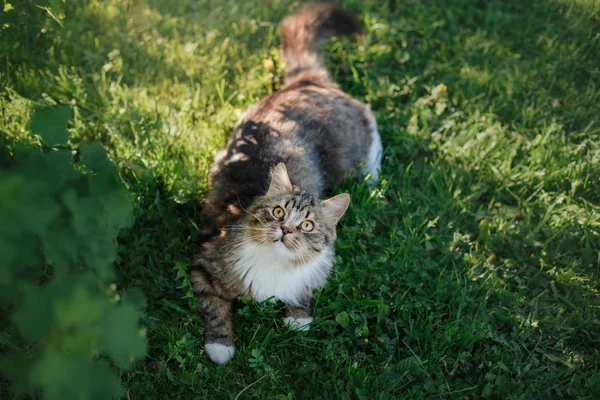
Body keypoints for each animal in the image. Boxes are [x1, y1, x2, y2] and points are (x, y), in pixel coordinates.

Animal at [190, 2, 382, 366]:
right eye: (278, 212)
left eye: (307, 225)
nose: (286, 230)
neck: (275, 265)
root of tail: (304, 81)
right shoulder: (204, 266)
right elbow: (216, 311)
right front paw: (220, 347)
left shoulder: (316, 271)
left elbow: (303, 293)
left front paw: (298, 318)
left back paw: (374, 178)